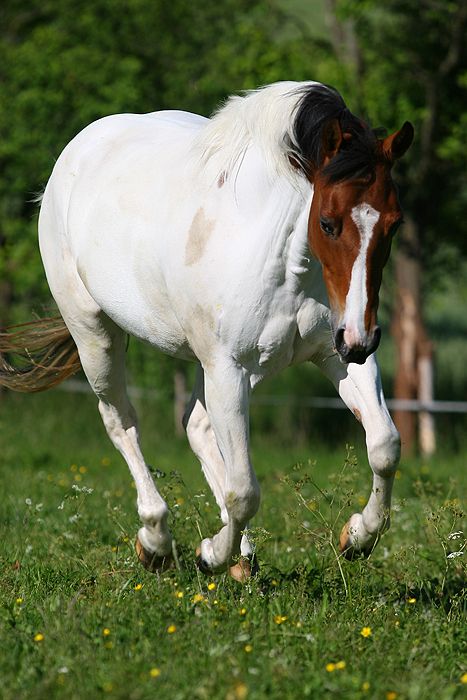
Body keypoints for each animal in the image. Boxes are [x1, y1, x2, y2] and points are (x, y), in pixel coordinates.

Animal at [1, 80, 414, 580]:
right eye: (328, 223)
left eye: (394, 224)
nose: (361, 338)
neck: (282, 255)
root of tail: (76, 152)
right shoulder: (228, 367)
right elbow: (244, 490)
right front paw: (210, 554)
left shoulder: (331, 355)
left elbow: (385, 445)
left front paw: (356, 538)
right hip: (96, 335)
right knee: (122, 422)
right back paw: (157, 542)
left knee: (194, 425)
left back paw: (240, 555)